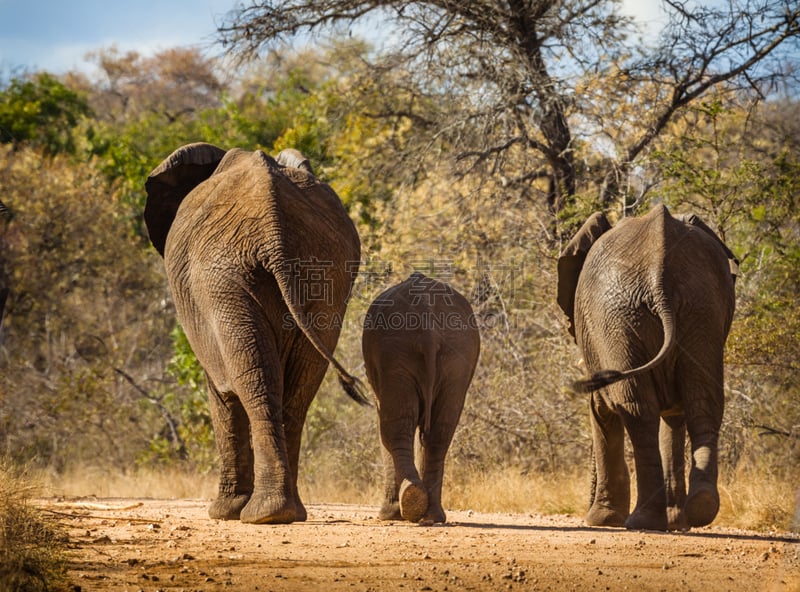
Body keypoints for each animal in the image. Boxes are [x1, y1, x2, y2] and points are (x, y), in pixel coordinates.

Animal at [145, 142, 368, 524]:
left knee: (255, 380)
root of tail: (273, 227)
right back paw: (286, 512)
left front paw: (222, 513)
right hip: (326, 276)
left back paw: (265, 513)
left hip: (223, 280)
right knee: (298, 390)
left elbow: (220, 394)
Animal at [362, 272, 482, 524]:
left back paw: (407, 507)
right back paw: (429, 513)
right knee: (440, 431)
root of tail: (428, 328)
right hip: (455, 350)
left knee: (396, 428)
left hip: (397, 350)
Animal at [556, 205, 736, 532]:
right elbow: (675, 417)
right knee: (703, 404)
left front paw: (601, 521)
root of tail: (659, 276)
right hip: (700, 309)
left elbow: (601, 411)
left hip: (617, 320)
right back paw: (699, 509)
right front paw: (677, 524)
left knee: (636, 408)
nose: (584, 512)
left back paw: (642, 521)